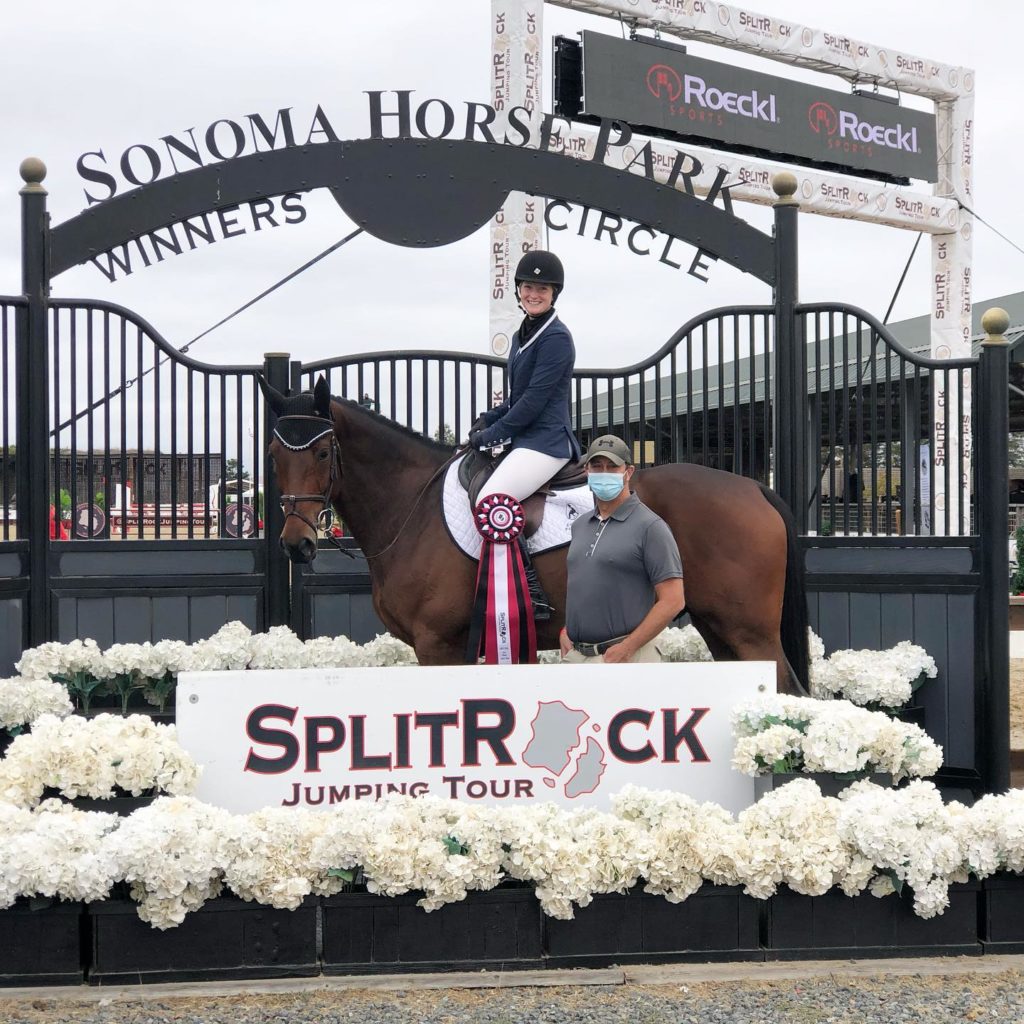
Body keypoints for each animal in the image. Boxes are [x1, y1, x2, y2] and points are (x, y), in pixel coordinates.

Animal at [260, 376, 811, 696]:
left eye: (323, 453)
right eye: (272, 453)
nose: (295, 544)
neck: (411, 507)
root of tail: (755, 486)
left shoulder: (437, 644)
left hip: (750, 631)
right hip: (718, 627)